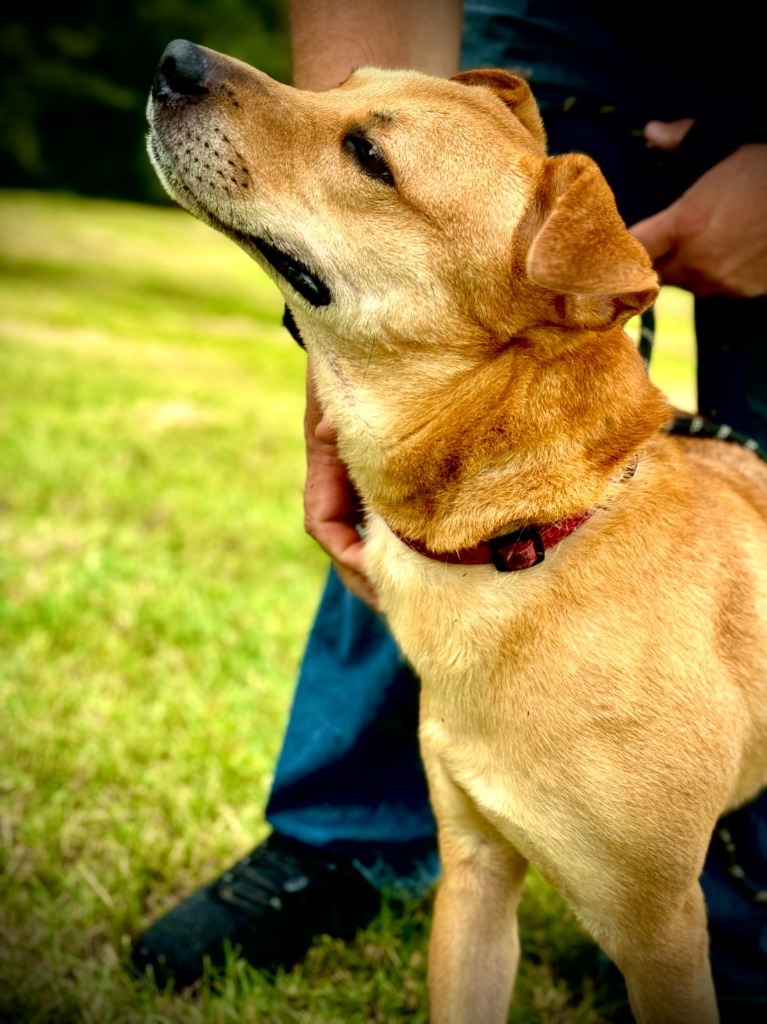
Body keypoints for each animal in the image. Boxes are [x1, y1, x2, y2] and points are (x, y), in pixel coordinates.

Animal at [146, 44, 765, 1024]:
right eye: (341, 86)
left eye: (370, 157)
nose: (175, 60)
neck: (527, 540)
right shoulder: (474, 875)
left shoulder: (661, 930)